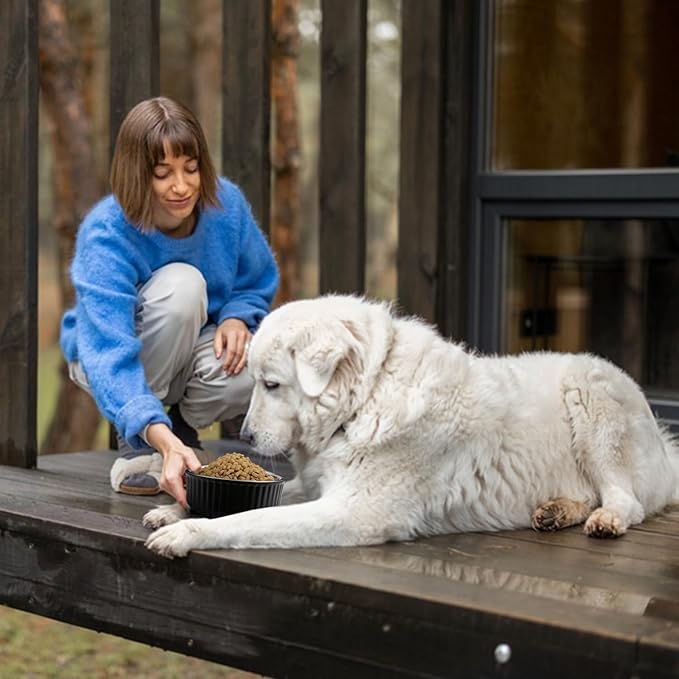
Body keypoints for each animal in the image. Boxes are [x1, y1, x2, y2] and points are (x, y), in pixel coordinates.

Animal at [143, 296, 679, 556]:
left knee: (625, 499)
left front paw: (187, 533)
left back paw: (605, 519)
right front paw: (175, 509)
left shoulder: (353, 511)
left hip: (590, 398)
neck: (367, 397)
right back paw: (556, 511)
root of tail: (663, 440)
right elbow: (256, 503)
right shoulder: (320, 487)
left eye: (271, 384)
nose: (249, 438)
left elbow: (248, 521)